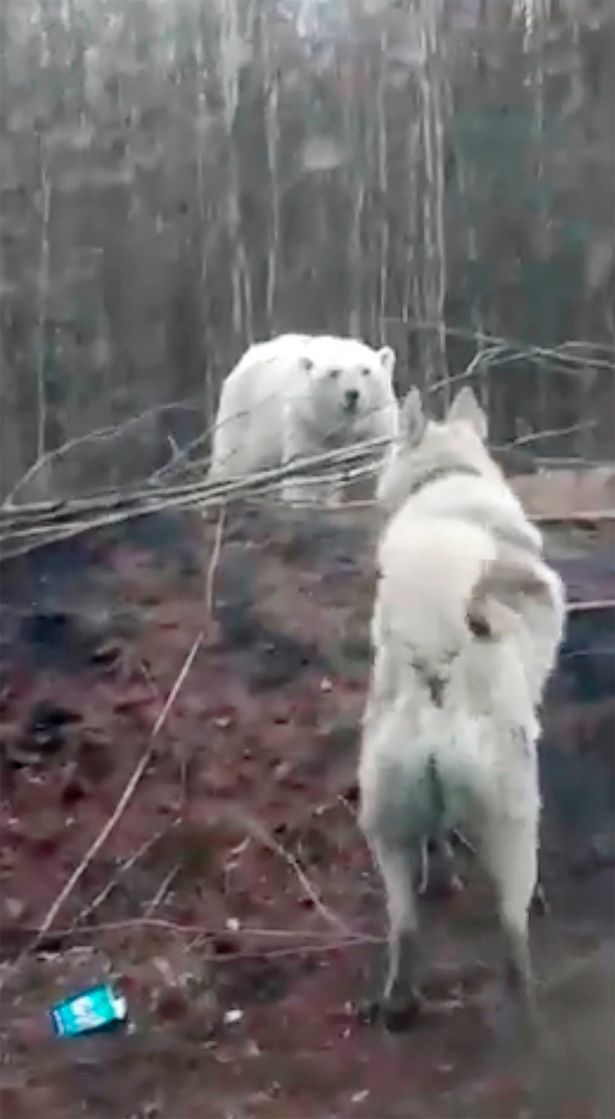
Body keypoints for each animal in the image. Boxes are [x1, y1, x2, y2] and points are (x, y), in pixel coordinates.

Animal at [206, 331, 400, 503]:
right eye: (334, 372)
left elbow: (369, 469)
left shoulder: (374, 430)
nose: (352, 394)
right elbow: (307, 474)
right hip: (240, 413)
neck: (341, 428)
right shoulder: (306, 424)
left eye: (366, 371)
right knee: (232, 460)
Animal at [360, 387, 565, 1029]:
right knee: (511, 930)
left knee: (403, 925)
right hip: (514, 817)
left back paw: (400, 1000)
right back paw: (524, 1011)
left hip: (386, 821)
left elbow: (439, 834)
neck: (446, 478)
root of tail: (436, 676)